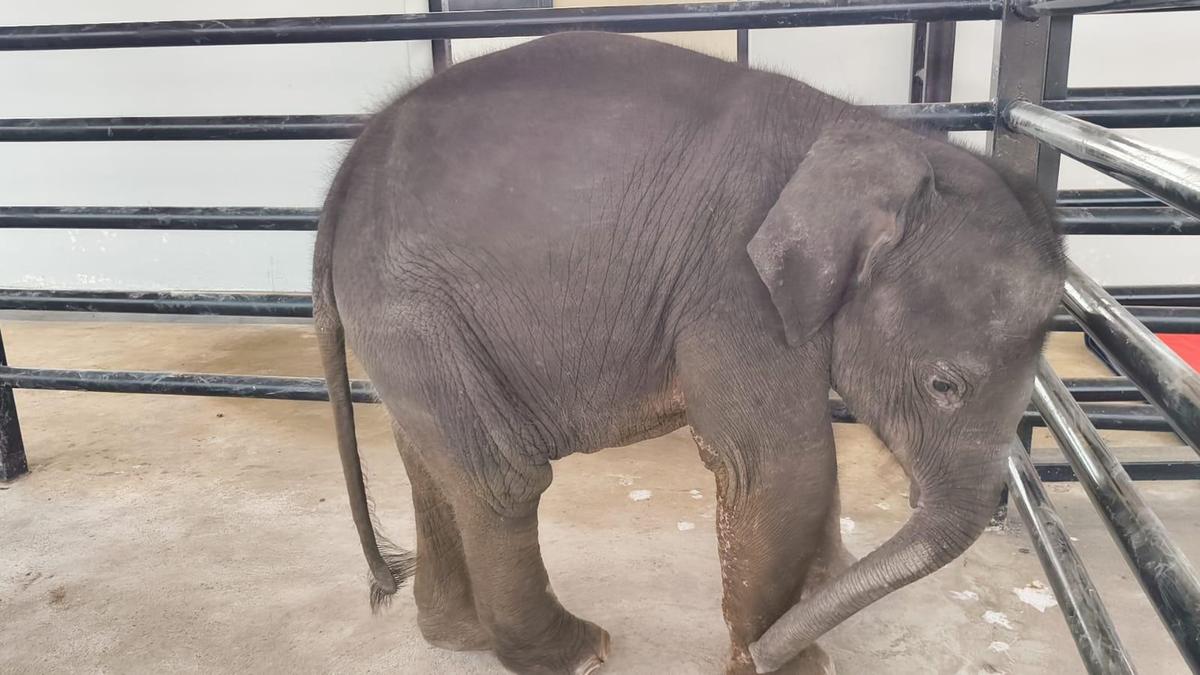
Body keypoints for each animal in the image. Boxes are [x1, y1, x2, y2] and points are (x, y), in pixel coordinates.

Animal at [313, 31, 1065, 675]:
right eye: (944, 385)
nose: (761, 654)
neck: (870, 136)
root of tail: (346, 177)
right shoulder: (732, 287)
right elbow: (778, 462)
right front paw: (789, 662)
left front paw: (811, 607)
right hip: (414, 307)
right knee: (501, 478)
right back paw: (580, 652)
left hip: (408, 324)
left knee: (429, 458)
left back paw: (460, 636)